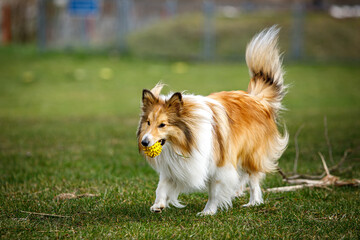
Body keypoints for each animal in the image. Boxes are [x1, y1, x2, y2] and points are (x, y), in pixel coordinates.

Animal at [136, 26, 288, 216]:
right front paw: (158, 204)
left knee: (253, 179)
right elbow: (161, 185)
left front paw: (208, 211)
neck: (183, 142)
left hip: (250, 153)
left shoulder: (219, 165)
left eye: (163, 125)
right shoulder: (177, 167)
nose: (144, 142)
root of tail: (257, 99)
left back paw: (253, 202)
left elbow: (214, 191)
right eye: (148, 122)